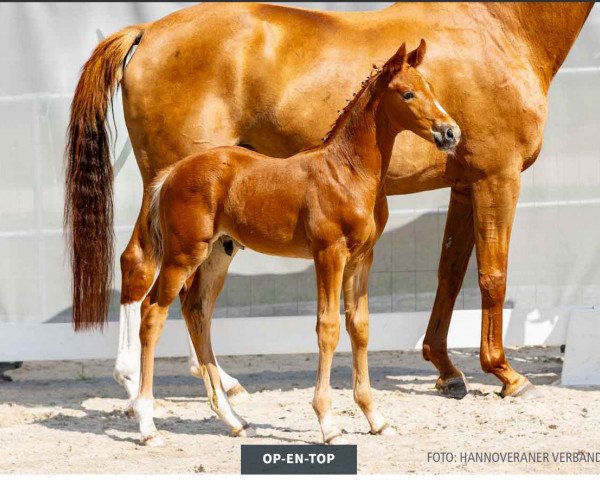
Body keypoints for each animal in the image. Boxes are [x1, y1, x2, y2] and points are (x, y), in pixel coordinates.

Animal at [135, 41, 460, 446]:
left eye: (430, 87)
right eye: (407, 94)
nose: (451, 133)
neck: (348, 171)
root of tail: (171, 173)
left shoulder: (362, 259)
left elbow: (360, 327)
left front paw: (375, 417)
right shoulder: (329, 254)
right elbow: (328, 328)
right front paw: (328, 422)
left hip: (217, 254)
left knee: (197, 312)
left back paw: (233, 419)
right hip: (183, 254)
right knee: (152, 312)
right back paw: (147, 425)